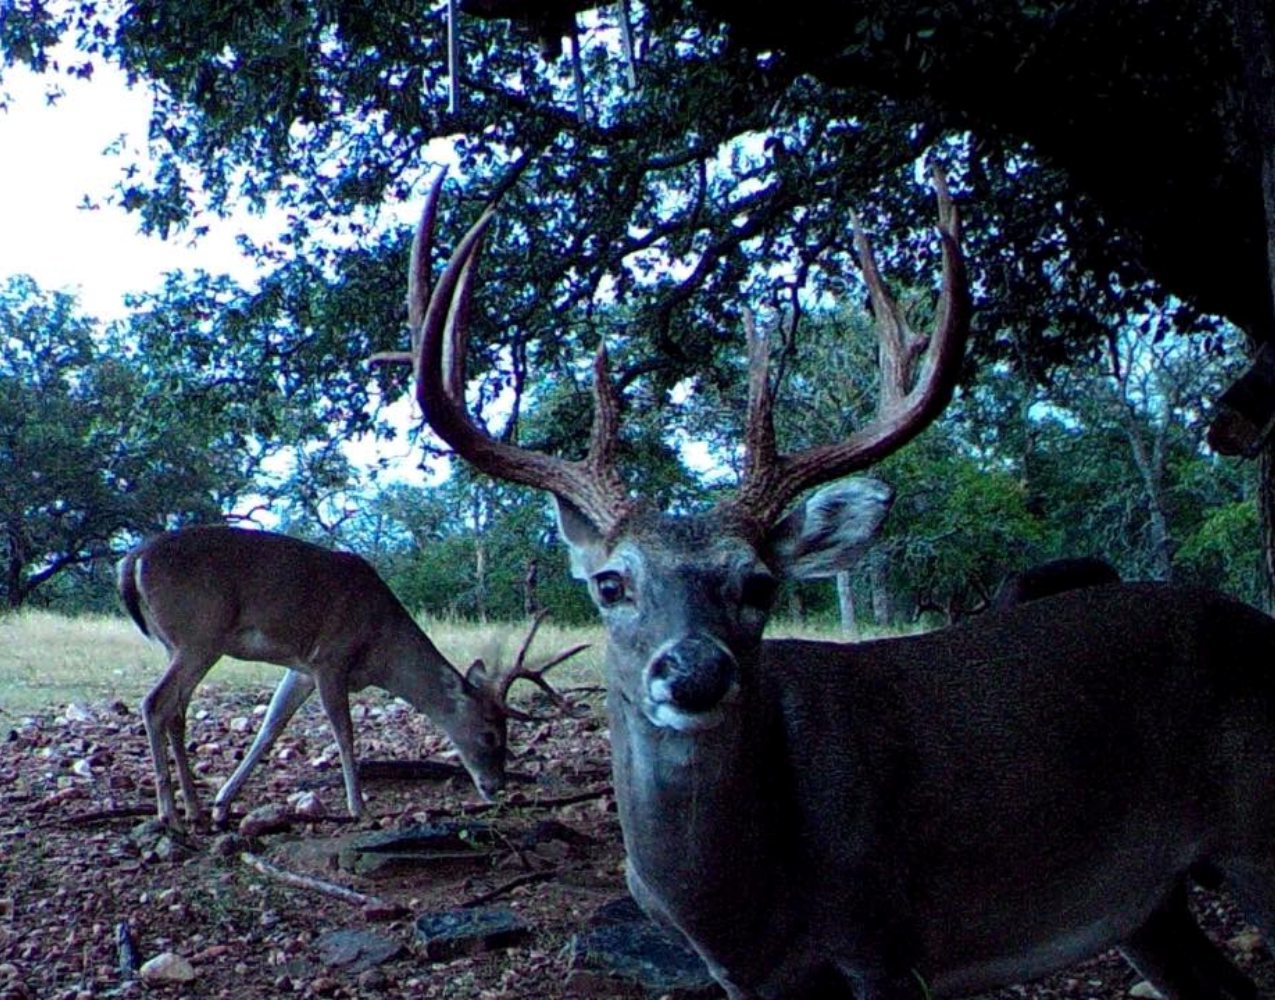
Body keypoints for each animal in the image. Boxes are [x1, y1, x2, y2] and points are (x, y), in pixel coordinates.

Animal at [117, 528, 583, 831]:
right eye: (490, 733)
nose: (497, 785)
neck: (381, 647)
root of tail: (132, 559)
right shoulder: (332, 658)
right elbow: (344, 732)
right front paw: (360, 807)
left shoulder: (301, 667)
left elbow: (270, 727)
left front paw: (223, 804)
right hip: (199, 635)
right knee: (155, 703)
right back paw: (169, 814)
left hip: (179, 644)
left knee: (176, 712)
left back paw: (195, 810)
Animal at [400, 173, 1275, 1000]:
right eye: (611, 583)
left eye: (758, 583)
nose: (695, 672)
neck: (734, 901)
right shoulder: (749, 979)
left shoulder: (885, 934)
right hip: (1147, 903)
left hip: (1255, 837)